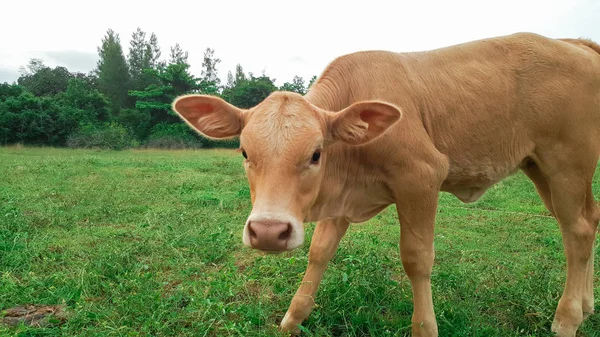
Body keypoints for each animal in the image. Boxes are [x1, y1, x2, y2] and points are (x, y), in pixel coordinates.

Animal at [172, 32, 600, 336]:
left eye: (316, 154)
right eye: (244, 152)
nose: (267, 231)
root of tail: (574, 43)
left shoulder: (422, 175)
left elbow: (417, 258)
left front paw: (425, 328)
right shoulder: (341, 199)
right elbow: (320, 251)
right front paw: (293, 318)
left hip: (567, 162)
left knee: (577, 230)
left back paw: (567, 319)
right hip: (541, 167)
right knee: (585, 223)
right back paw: (586, 304)